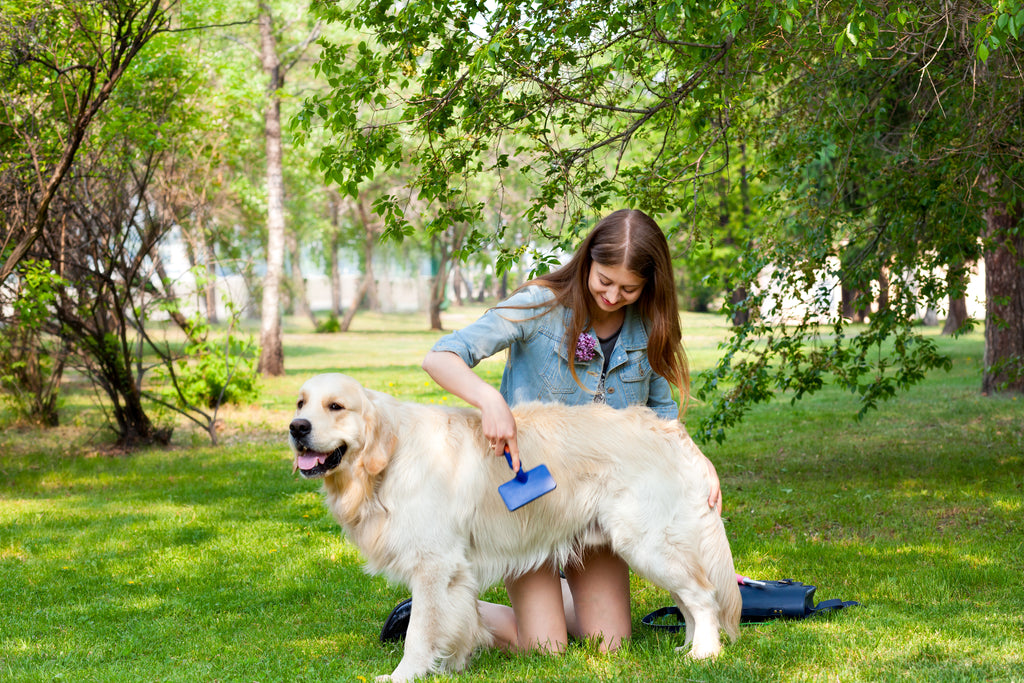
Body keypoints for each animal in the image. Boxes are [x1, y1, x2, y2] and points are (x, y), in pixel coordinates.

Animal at [288, 374, 737, 683]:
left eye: (336, 406)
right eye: (300, 402)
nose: (296, 428)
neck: (389, 460)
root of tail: (674, 433)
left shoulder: (434, 565)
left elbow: (420, 632)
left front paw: (404, 675)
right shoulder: (455, 572)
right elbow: (458, 622)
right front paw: (451, 666)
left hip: (646, 541)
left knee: (703, 596)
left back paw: (704, 655)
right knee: (691, 601)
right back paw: (688, 647)